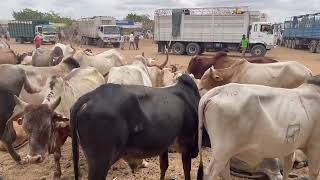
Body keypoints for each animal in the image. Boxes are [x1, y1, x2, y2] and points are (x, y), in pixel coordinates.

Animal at [71, 74, 200, 179]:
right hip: (100, 162)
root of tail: (91, 96)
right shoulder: (187, 140)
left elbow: (164, 166)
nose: (196, 153)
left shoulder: (165, 144)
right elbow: (186, 169)